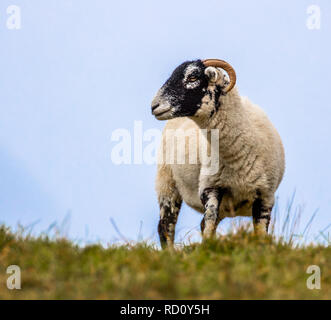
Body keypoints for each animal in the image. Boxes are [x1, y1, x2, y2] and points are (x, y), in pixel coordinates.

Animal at [151, 58, 286, 249]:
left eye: (192, 77)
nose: (154, 106)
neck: (237, 157)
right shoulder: (210, 186)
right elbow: (209, 222)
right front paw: (207, 249)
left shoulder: (266, 196)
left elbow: (260, 234)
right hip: (166, 182)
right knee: (165, 225)